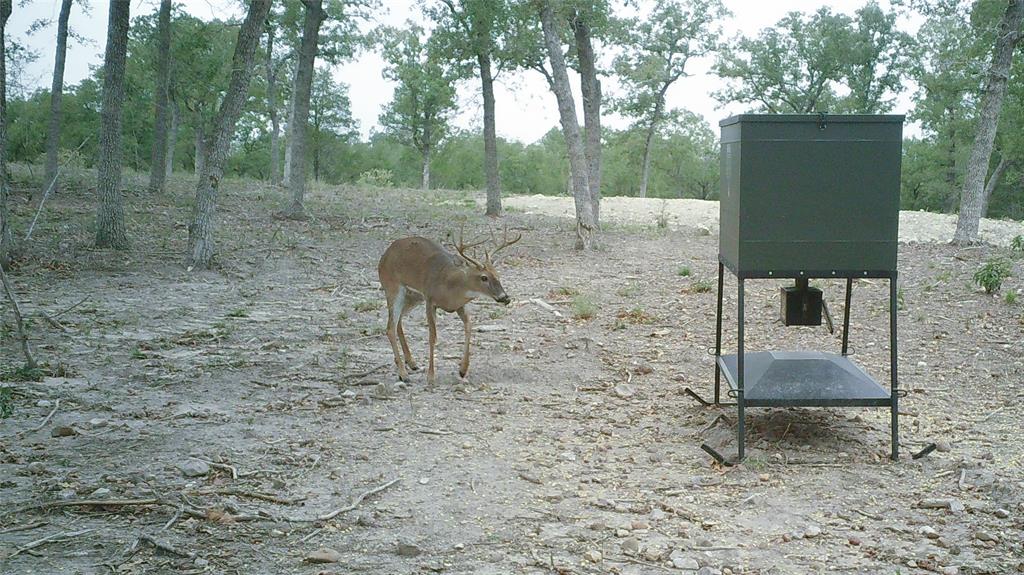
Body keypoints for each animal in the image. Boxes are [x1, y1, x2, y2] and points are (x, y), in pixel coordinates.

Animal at [376, 226, 520, 382]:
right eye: (484, 277)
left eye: (498, 275)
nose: (505, 297)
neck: (450, 287)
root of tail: (385, 255)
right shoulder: (430, 300)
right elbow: (432, 336)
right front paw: (431, 376)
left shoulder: (459, 305)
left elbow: (469, 327)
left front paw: (463, 370)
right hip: (392, 287)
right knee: (390, 327)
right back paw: (404, 374)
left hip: (414, 296)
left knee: (398, 321)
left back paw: (412, 363)